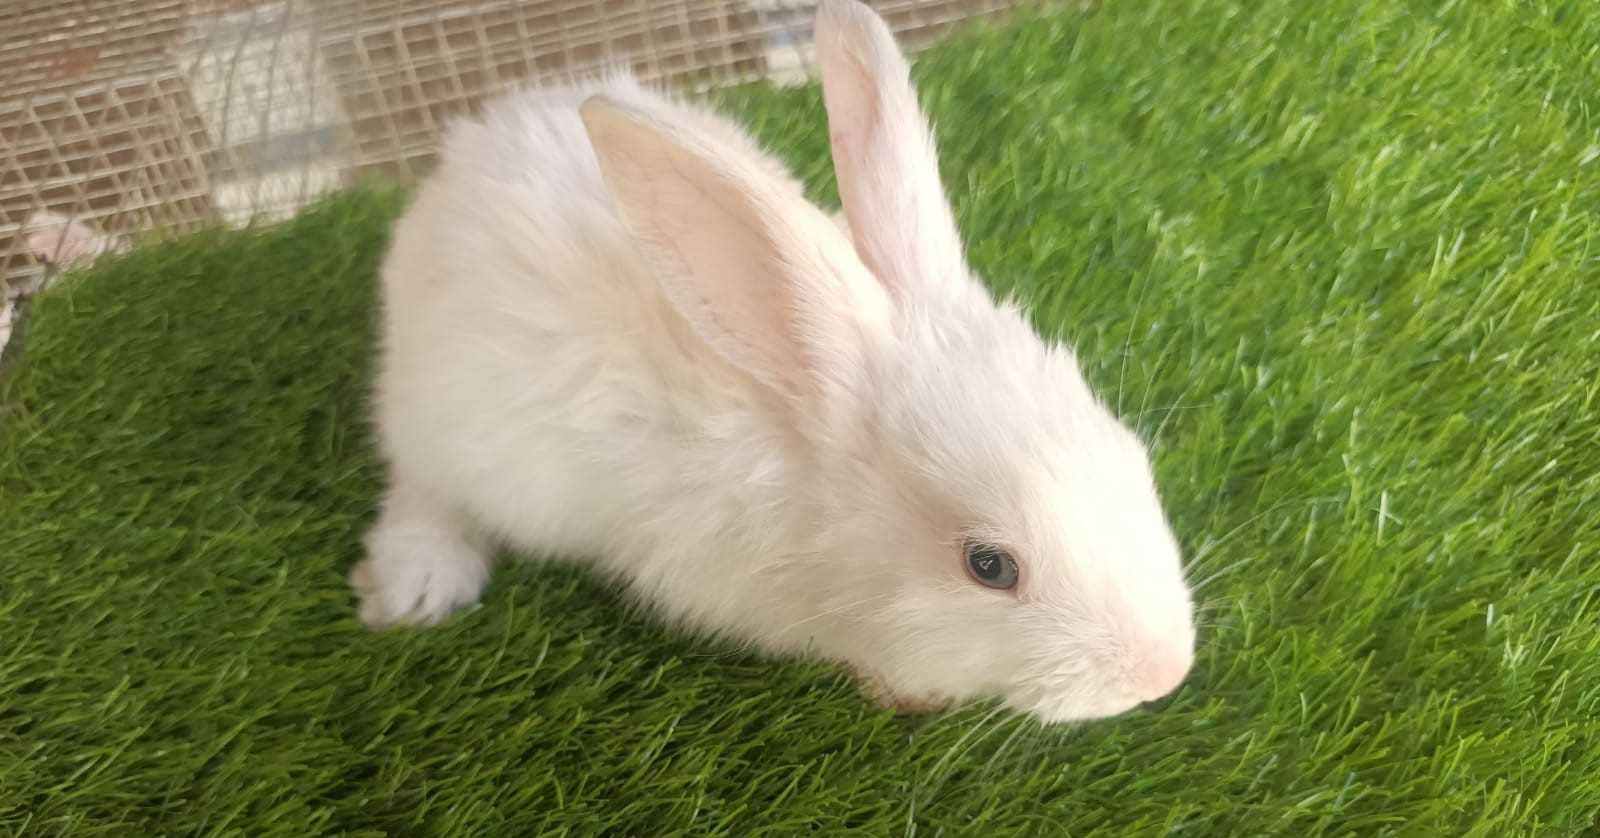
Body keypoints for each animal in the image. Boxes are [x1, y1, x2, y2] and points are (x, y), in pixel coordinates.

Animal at [351, 0, 1196, 723]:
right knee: (423, 491)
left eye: (1133, 454)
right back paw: (413, 588)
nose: (1163, 672)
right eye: (989, 567)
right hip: (447, 422)